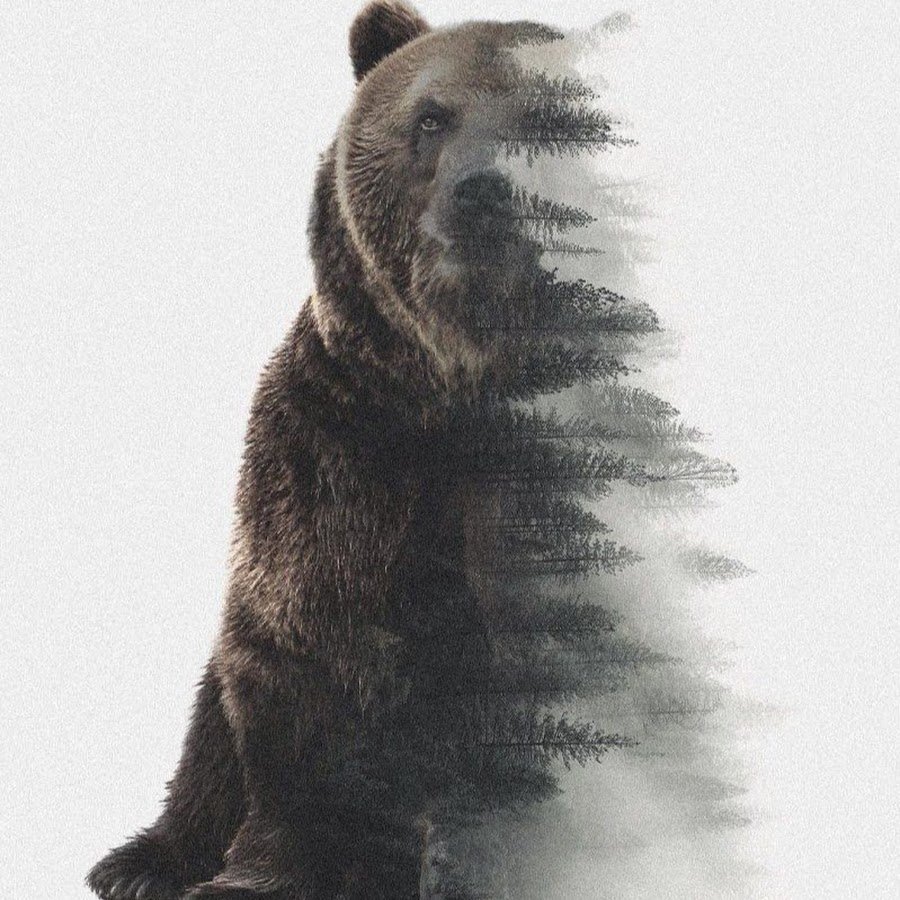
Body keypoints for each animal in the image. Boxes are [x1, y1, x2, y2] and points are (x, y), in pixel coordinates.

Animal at [87, 3, 559, 899]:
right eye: (431, 117)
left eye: (555, 121)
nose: (486, 194)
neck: (451, 390)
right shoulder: (331, 455)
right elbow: (301, 665)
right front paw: (257, 874)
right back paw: (140, 862)